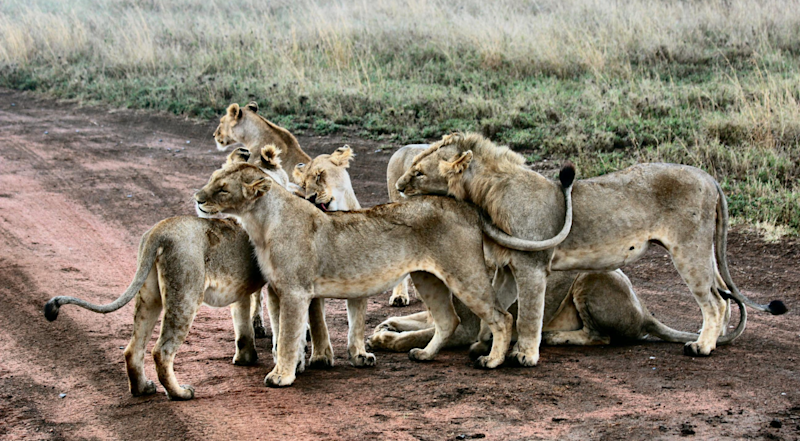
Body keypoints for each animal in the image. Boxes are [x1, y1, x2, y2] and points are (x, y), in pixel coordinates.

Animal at [41, 146, 339, 401]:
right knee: (161, 351)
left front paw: (246, 358)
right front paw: (293, 362)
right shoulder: (275, 286)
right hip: (184, 294)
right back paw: (179, 393)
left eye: (221, 186)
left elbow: (242, 324)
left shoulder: (241, 287)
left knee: (132, 348)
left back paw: (142, 389)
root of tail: (158, 231)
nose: (198, 198)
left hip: (149, 297)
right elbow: (282, 327)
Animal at [193, 161, 577, 386]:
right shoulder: (277, 291)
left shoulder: (295, 291)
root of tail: (463, 205)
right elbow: (289, 336)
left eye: (223, 188)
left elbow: (288, 337)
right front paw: (298, 365)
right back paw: (424, 354)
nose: (197, 197)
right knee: (448, 320)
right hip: (428, 277)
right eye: (212, 179)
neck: (260, 221)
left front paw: (282, 376)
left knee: (501, 317)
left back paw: (492, 361)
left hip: (463, 273)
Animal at [395, 132, 786, 365]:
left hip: (689, 250)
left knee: (715, 302)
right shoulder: (508, 267)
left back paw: (703, 347)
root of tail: (708, 177)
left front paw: (524, 355)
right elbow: (500, 308)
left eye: (419, 173)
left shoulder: (532, 266)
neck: (485, 195)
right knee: (721, 297)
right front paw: (488, 345)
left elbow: (528, 315)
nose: (398, 186)